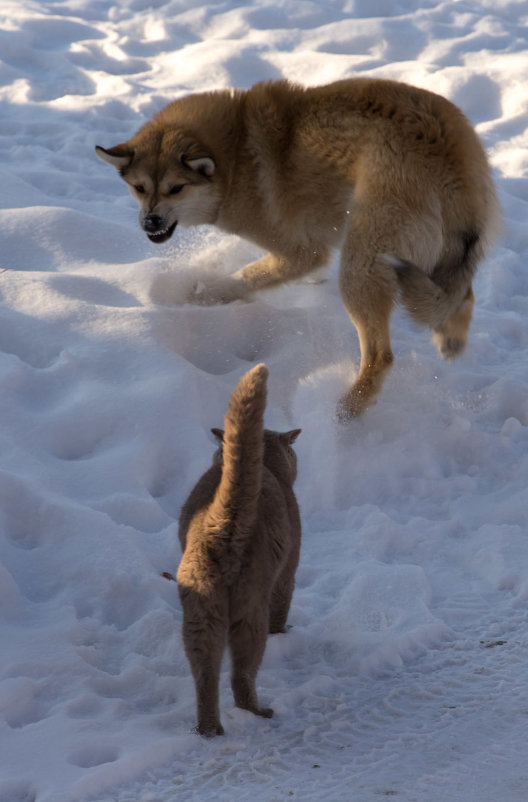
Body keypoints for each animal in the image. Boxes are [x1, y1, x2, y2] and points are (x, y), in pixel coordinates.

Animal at [98, 79, 500, 418]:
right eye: (139, 187)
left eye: (176, 189)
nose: (150, 223)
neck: (235, 153)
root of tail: (446, 150)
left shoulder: (300, 252)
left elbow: (246, 277)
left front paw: (204, 296)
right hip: (441, 255)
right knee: (462, 296)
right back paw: (449, 338)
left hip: (361, 265)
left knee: (380, 356)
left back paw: (343, 413)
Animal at [176, 366, 302, 736]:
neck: (269, 467)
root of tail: (224, 521)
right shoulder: (288, 572)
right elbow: (282, 609)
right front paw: (284, 634)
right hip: (249, 612)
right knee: (242, 673)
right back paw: (259, 712)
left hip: (201, 616)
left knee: (206, 675)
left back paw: (208, 729)